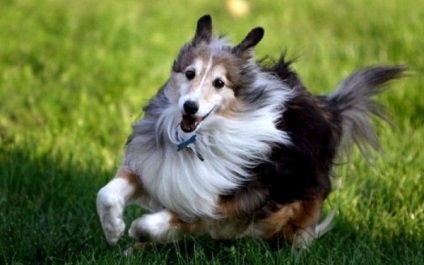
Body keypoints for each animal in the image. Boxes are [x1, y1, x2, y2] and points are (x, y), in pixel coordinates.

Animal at [96, 14, 404, 250]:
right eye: (189, 73)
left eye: (219, 83)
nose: (190, 107)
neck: (197, 140)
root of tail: (328, 108)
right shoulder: (153, 168)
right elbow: (107, 194)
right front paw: (114, 230)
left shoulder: (214, 204)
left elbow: (157, 221)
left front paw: (136, 232)